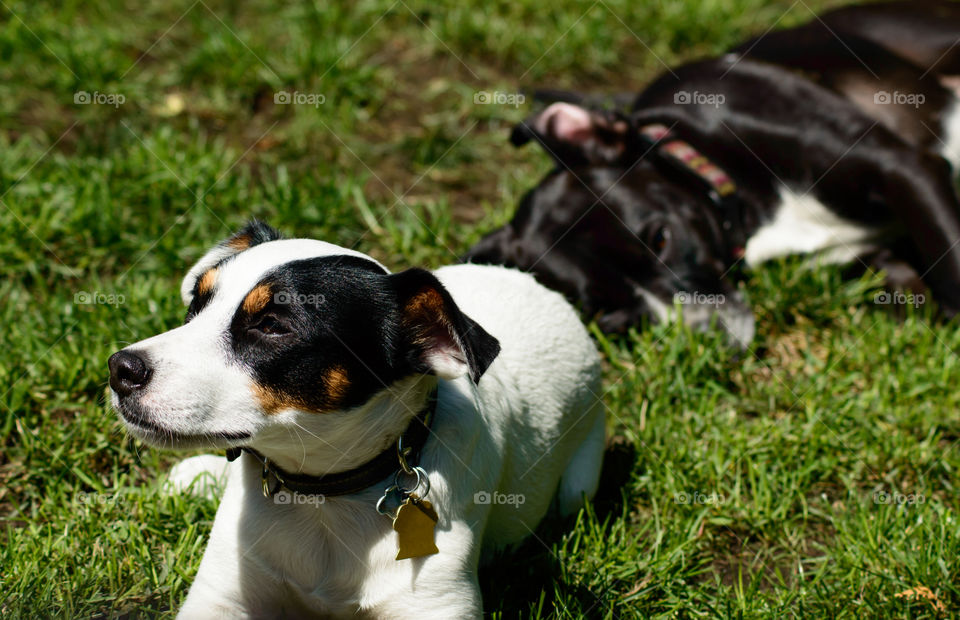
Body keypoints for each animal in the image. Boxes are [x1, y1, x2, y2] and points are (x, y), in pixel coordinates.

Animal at [105, 222, 600, 616]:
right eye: (196, 306)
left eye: (272, 325)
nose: (120, 369)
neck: (322, 500)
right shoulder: (221, 595)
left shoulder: (436, 602)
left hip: (578, 487)